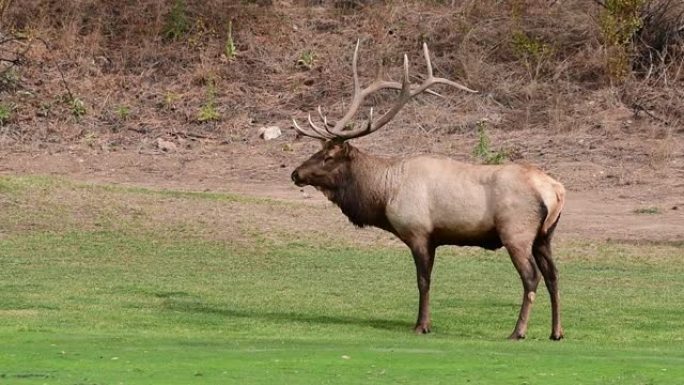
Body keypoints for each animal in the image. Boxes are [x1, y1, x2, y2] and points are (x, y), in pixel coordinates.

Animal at [292, 40, 564, 338]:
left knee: (531, 277)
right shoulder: (433, 238)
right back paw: (556, 332)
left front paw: (421, 325)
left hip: (516, 232)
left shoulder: (418, 231)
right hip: (544, 236)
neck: (384, 194)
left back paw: (518, 331)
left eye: (328, 156)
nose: (295, 173)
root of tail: (556, 191)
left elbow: (423, 280)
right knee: (553, 276)